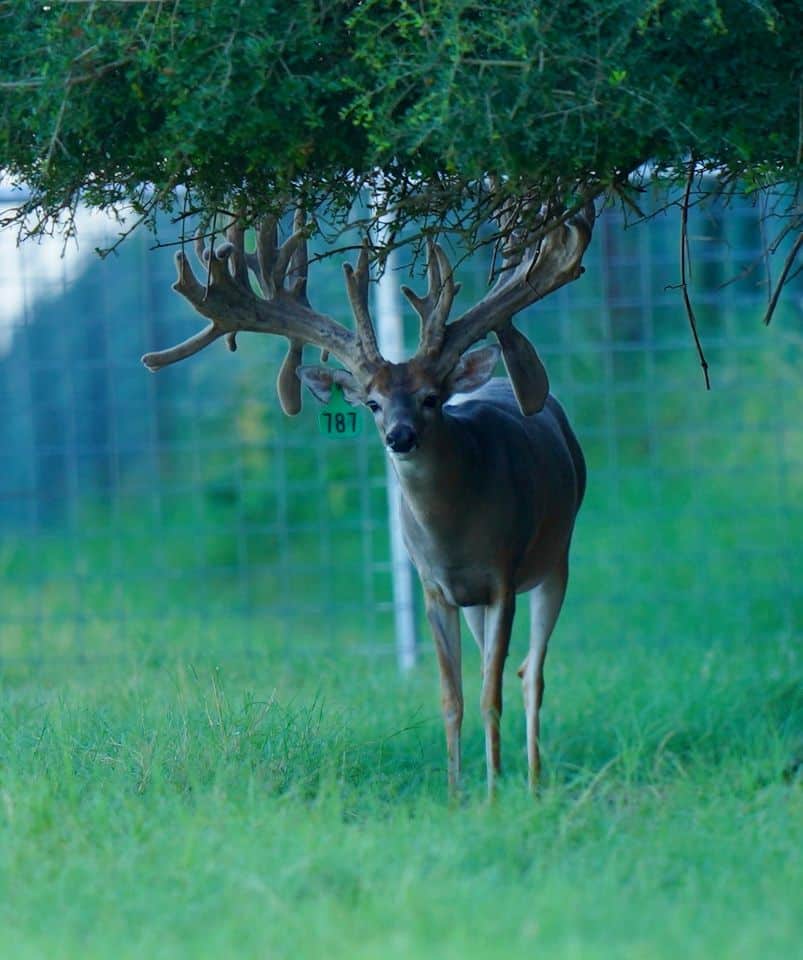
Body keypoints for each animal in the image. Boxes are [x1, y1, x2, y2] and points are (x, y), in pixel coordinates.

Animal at [142, 202, 595, 798]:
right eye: (372, 403)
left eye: (431, 398)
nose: (399, 437)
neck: (456, 532)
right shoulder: (435, 587)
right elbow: (453, 698)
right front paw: (457, 793)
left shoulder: (503, 574)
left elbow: (490, 695)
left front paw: (495, 791)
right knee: (502, 669)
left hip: (554, 560)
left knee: (531, 674)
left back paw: (536, 780)